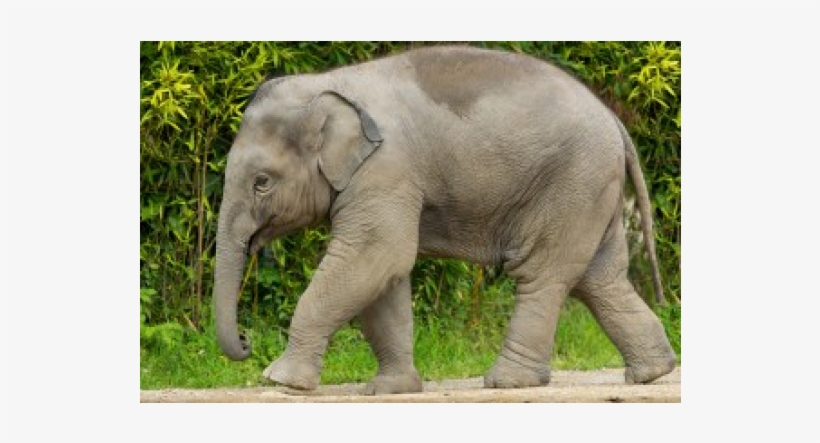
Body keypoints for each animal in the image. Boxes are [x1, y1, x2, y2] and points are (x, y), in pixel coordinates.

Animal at [214, 45, 677, 394]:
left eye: (261, 182)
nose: (246, 341)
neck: (329, 83)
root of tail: (615, 122)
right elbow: (385, 275)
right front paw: (389, 389)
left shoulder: (387, 169)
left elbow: (376, 255)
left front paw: (281, 381)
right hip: (594, 190)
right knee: (600, 278)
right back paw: (652, 372)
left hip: (572, 182)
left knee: (541, 275)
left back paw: (507, 383)